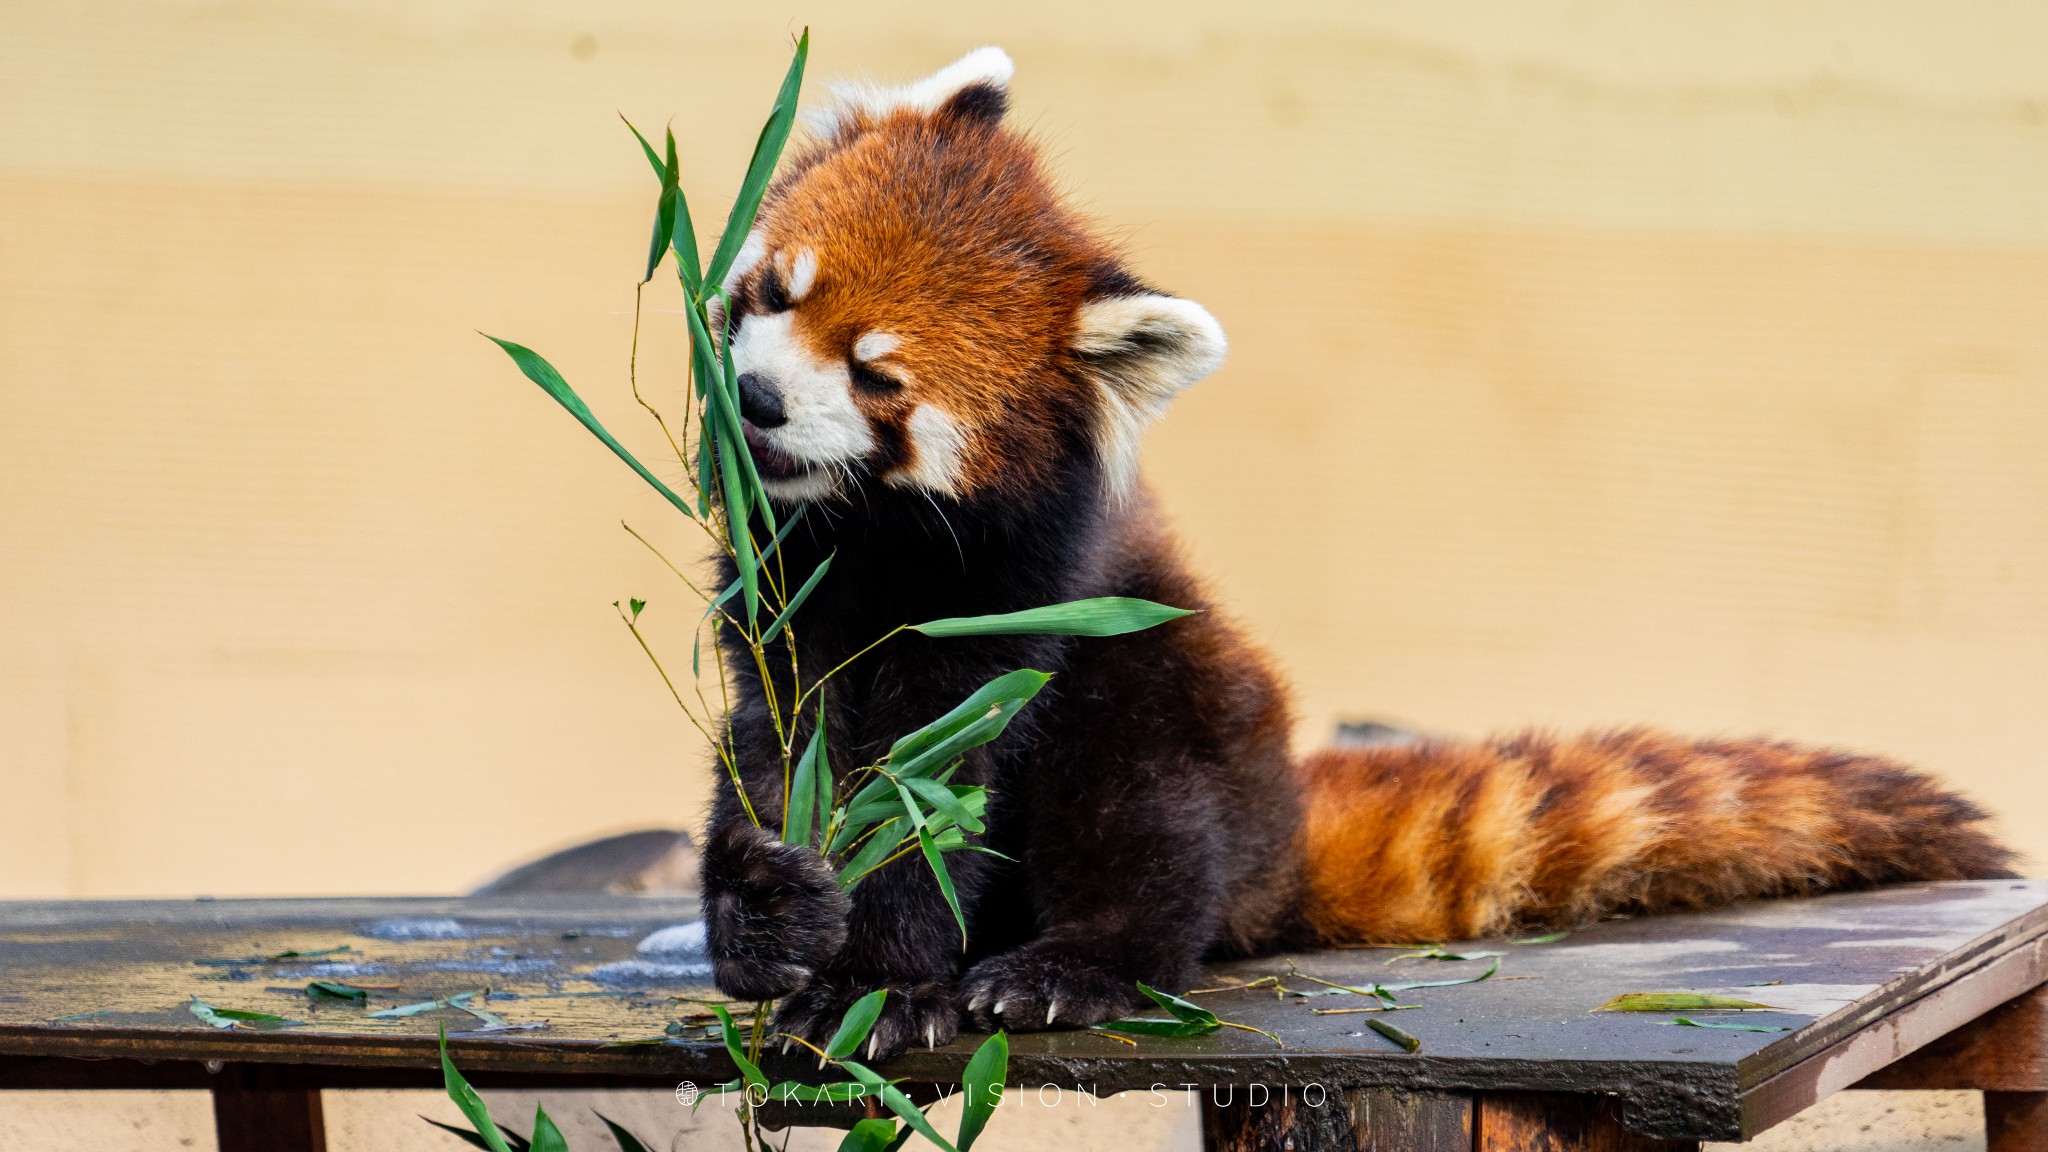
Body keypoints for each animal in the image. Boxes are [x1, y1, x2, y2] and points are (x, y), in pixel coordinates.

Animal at [696, 47, 2007, 1057]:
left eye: (878, 375)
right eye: (777, 290)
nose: (756, 399)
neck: (865, 538)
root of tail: (1280, 833)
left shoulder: (1016, 600)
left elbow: (934, 781)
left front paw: (878, 987)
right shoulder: (777, 594)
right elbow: (775, 750)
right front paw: (772, 911)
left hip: (1179, 695)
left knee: (1145, 818)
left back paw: (1072, 963)